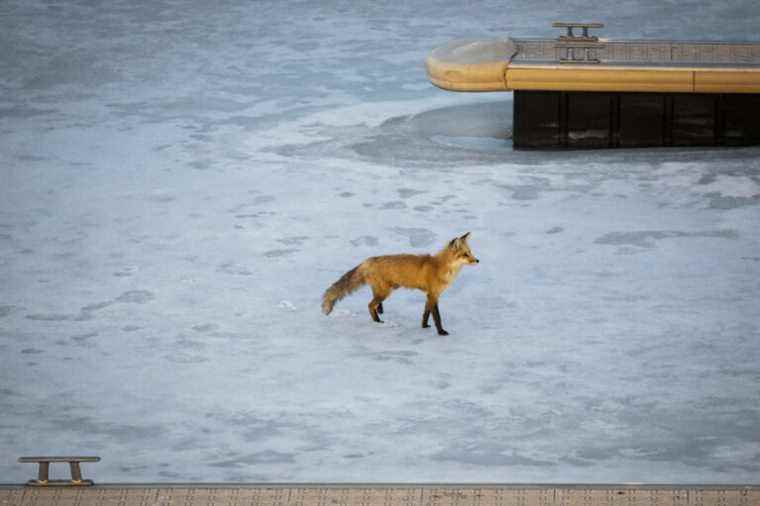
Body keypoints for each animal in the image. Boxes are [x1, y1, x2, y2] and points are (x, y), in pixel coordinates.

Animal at [322, 233, 480, 336]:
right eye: (465, 254)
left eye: (470, 252)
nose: (477, 260)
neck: (440, 267)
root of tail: (367, 261)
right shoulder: (434, 294)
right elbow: (437, 317)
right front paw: (441, 332)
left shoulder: (430, 295)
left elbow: (426, 313)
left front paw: (424, 326)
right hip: (385, 292)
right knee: (370, 305)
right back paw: (378, 321)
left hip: (383, 290)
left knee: (374, 303)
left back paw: (380, 311)